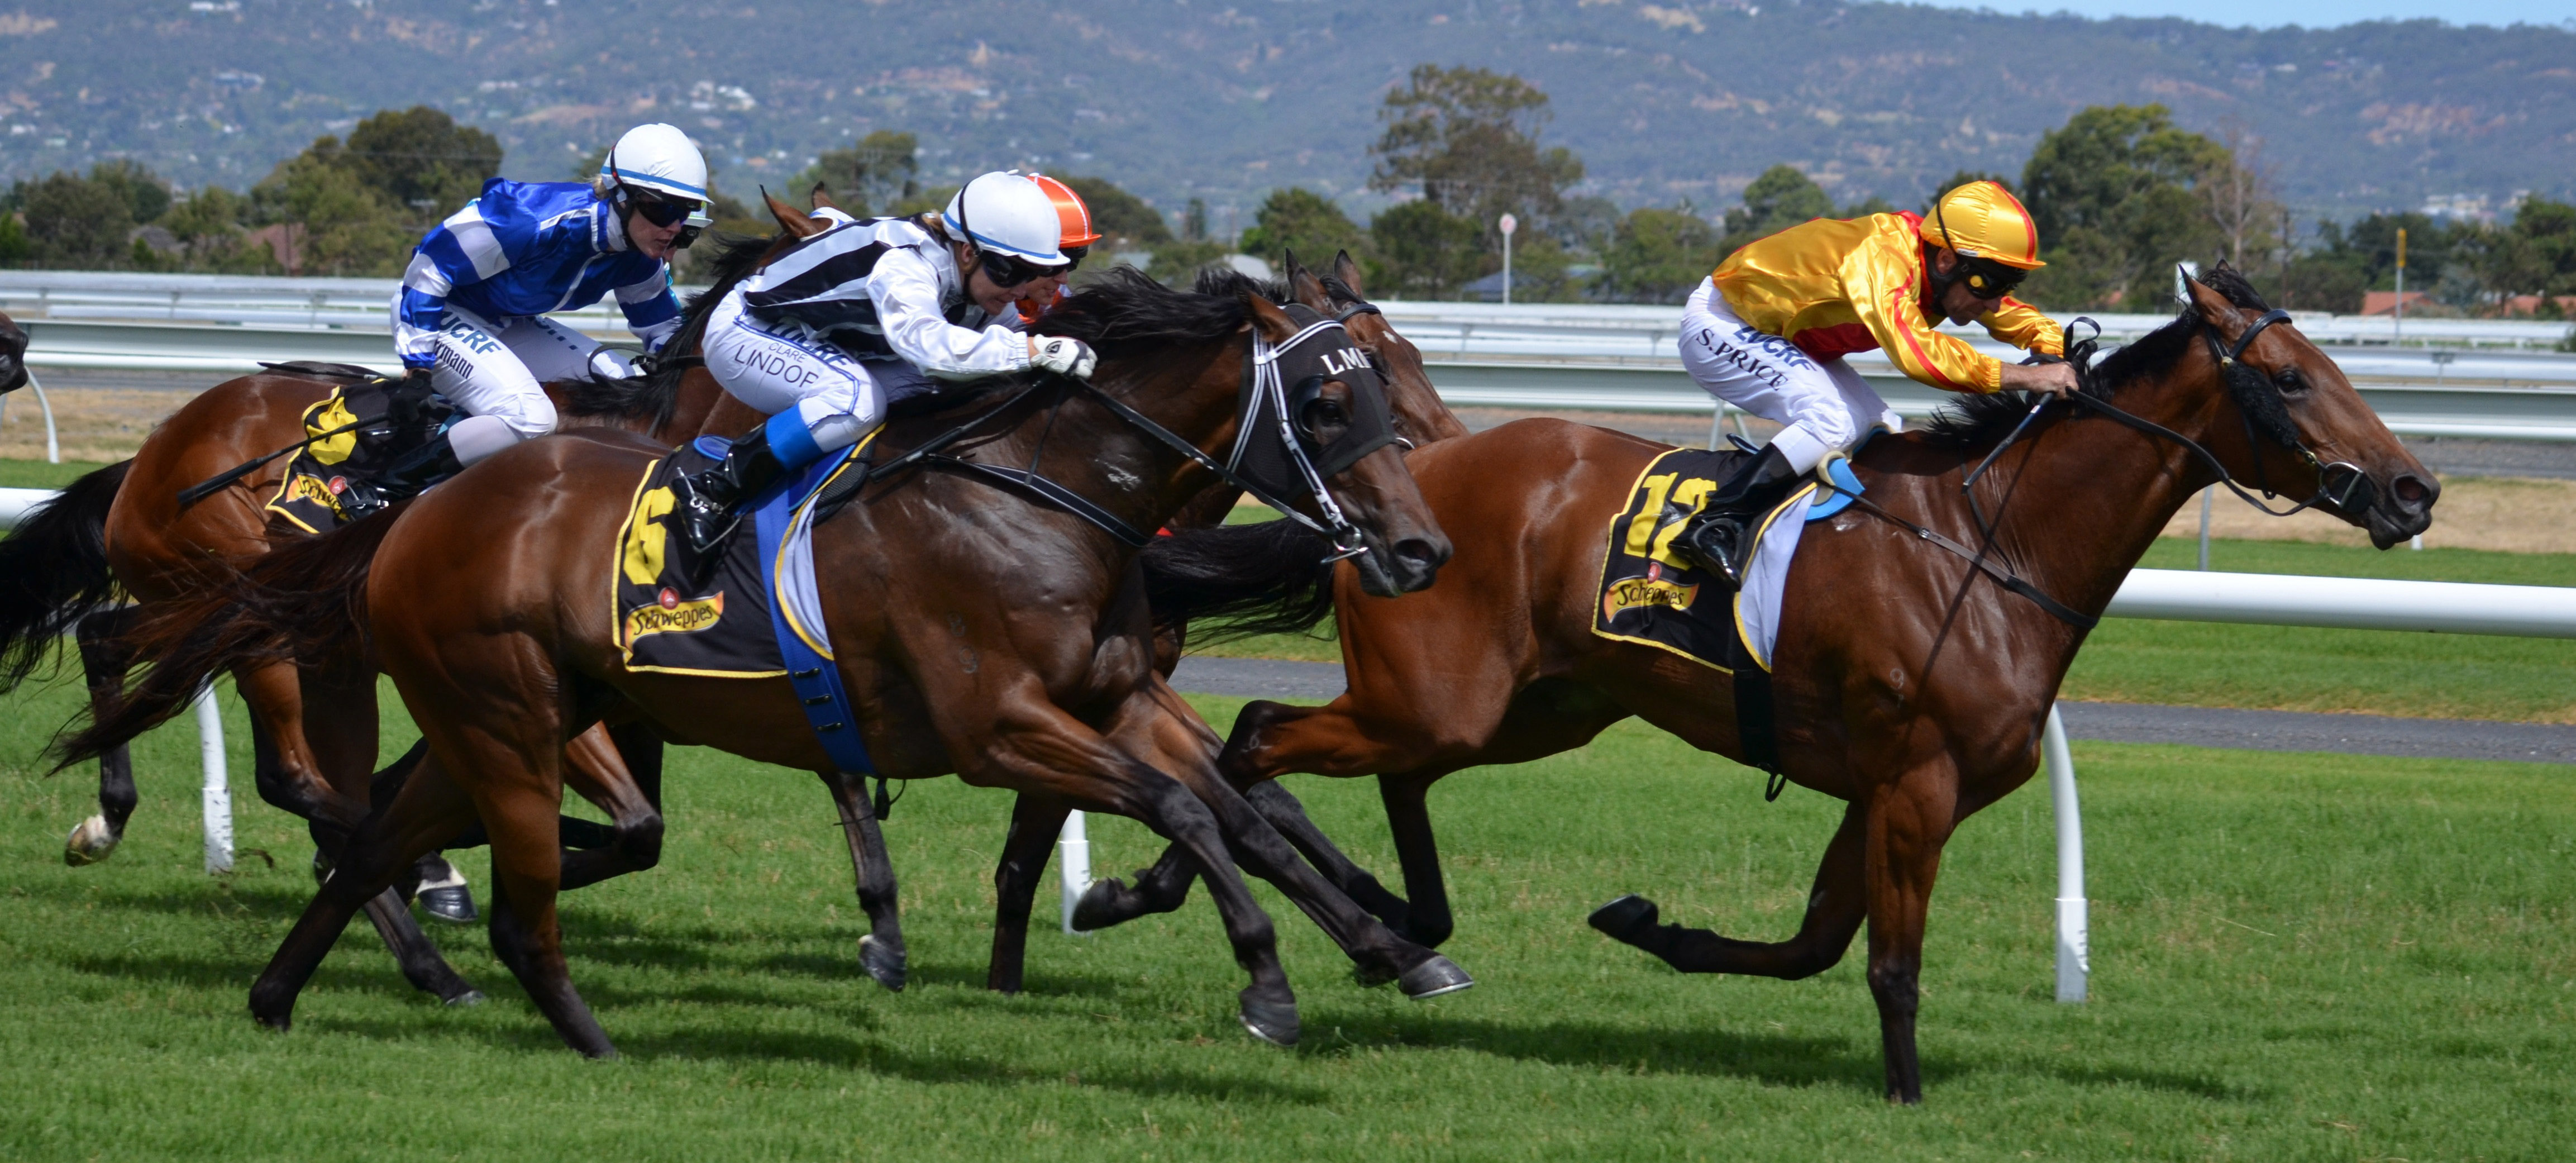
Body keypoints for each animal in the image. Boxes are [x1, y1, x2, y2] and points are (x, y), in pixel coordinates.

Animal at [65, 268, 1473, 1062]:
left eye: (1395, 375)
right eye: (1333, 403)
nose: (1419, 545)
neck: (1038, 495)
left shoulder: (1116, 695)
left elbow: (1242, 809)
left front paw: (1388, 943)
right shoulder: (996, 725)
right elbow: (1185, 807)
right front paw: (1269, 985)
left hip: (434, 691)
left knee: (357, 819)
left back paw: (337, 973)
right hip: (371, 665)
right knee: (281, 760)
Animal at [1066, 268, 2431, 1109]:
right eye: (2294, 381)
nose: (2413, 490)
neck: (1991, 549)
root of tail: (1386, 501)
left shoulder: (1880, 786)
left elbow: (1812, 945)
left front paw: (1648, 925)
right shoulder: (1918, 780)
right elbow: (1887, 962)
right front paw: (1905, 1092)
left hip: (1528, 710)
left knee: (1369, 770)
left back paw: (1390, 929)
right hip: (1440, 694)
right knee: (1255, 736)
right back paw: (1174, 898)